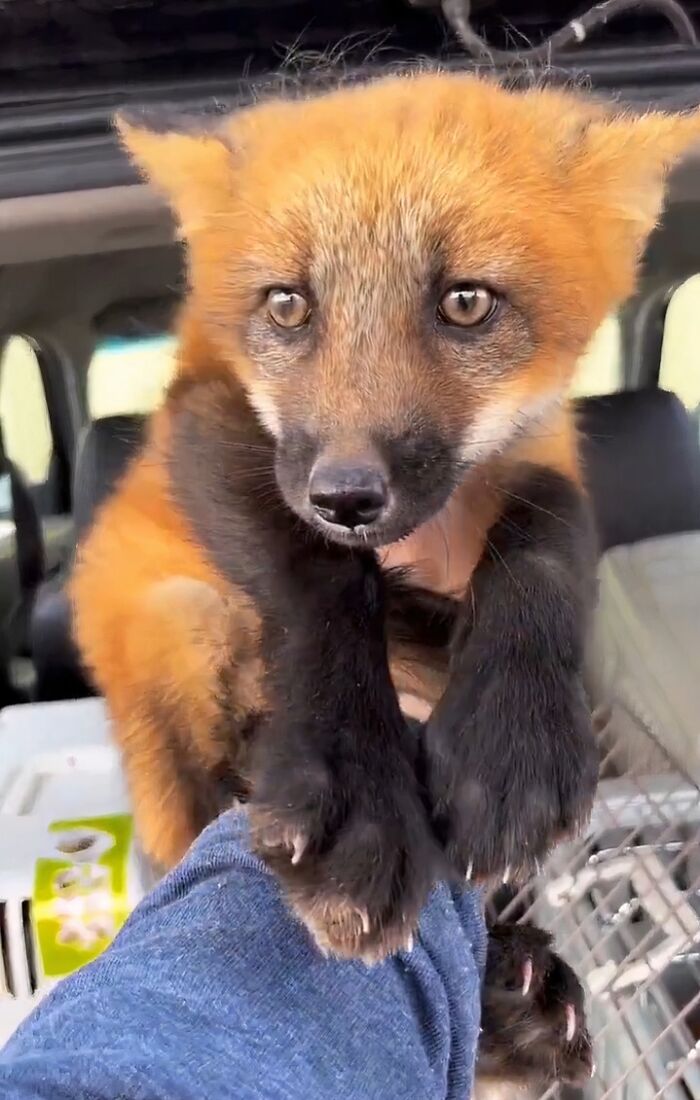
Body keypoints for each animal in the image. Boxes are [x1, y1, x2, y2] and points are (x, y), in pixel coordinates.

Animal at [73, 69, 696, 993]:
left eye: (466, 302)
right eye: (287, 304)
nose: (346, 496)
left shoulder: (541, 449)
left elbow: (548, 538)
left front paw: (513, 735)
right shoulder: (205, 413)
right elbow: (323, 581)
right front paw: (355, 790)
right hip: (181, 625)